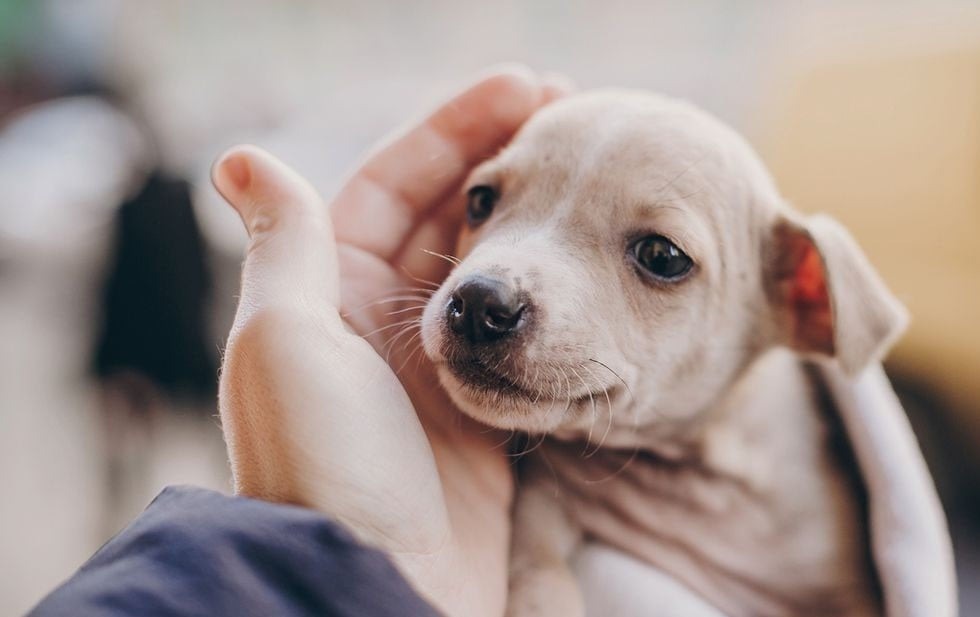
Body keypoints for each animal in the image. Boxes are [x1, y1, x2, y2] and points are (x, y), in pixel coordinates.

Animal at [418, 89, 908, 612]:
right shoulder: (541, 511)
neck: (688, 471)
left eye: (662, 256)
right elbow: (540, 575)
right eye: (480, 200)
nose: (478, 303)